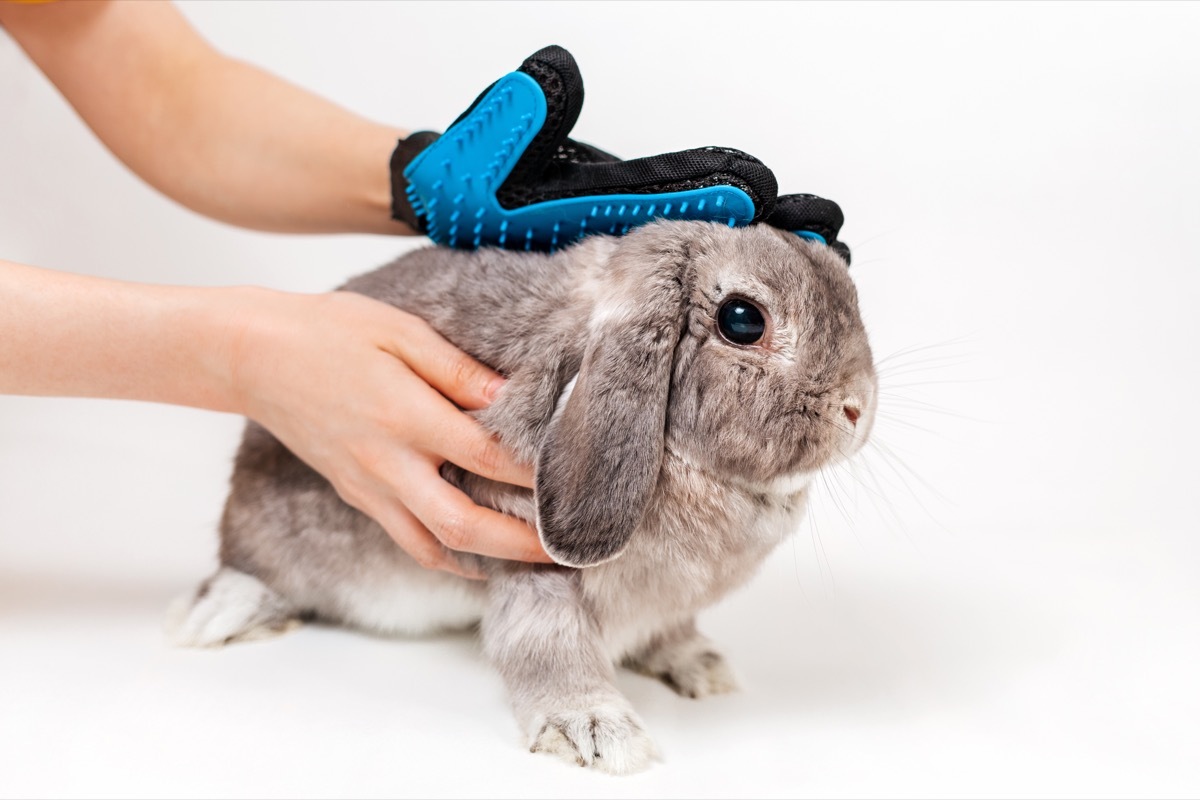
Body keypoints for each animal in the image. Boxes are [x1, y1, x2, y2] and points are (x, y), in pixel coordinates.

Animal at [166, 219, 877, 774]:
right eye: (742, 320)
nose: (858, 409)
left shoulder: (665, 601)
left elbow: (669, 630)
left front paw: (703, 670)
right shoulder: (529, 563)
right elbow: (546, 645)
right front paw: (596, 734)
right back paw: (218, 616)